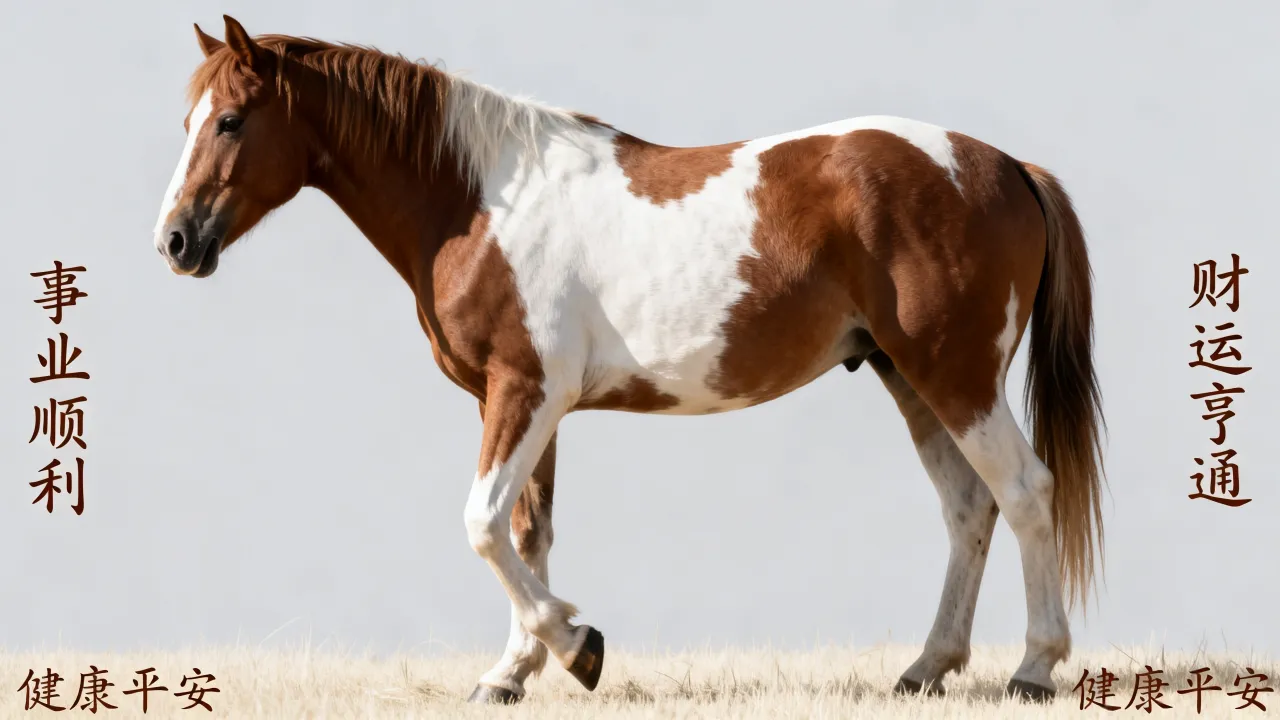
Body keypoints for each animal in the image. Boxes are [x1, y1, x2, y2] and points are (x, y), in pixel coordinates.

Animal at [152, 15, 1107, 705]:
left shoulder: (524, 392)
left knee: (1026, 492)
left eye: (231, 120)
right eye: (189, 120)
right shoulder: (517, 402)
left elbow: (481, 523)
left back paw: (1033, 669)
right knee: (968, 509)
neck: (479, 199)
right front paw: (511, 674)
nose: (175, 242)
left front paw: (578, 647)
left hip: (955, 373)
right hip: (907, 375)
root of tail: (1004, 165)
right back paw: (926, 668)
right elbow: (525, 532)